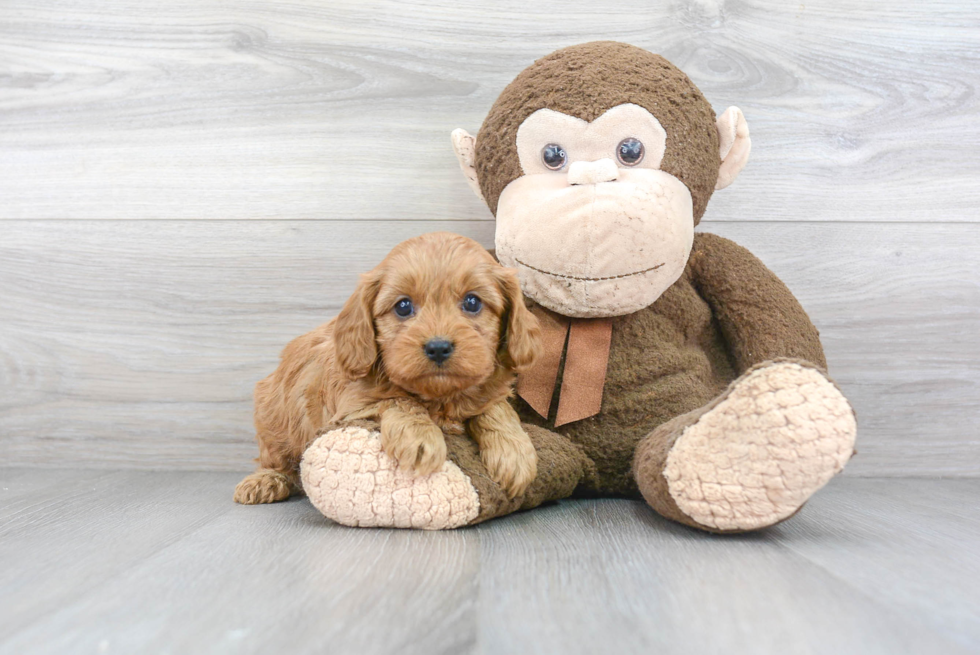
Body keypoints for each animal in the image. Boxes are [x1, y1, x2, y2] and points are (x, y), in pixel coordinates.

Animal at [235, 233, 544, 504]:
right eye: (403, 306)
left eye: (472, 302)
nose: (438, 347)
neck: (440, 397)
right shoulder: (352, 405)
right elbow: (398, 399)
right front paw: (420, 438)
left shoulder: (490, 391)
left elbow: (496, 408)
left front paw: (514, 453)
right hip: (272, 418)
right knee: (276, 460)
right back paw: (264, 481)